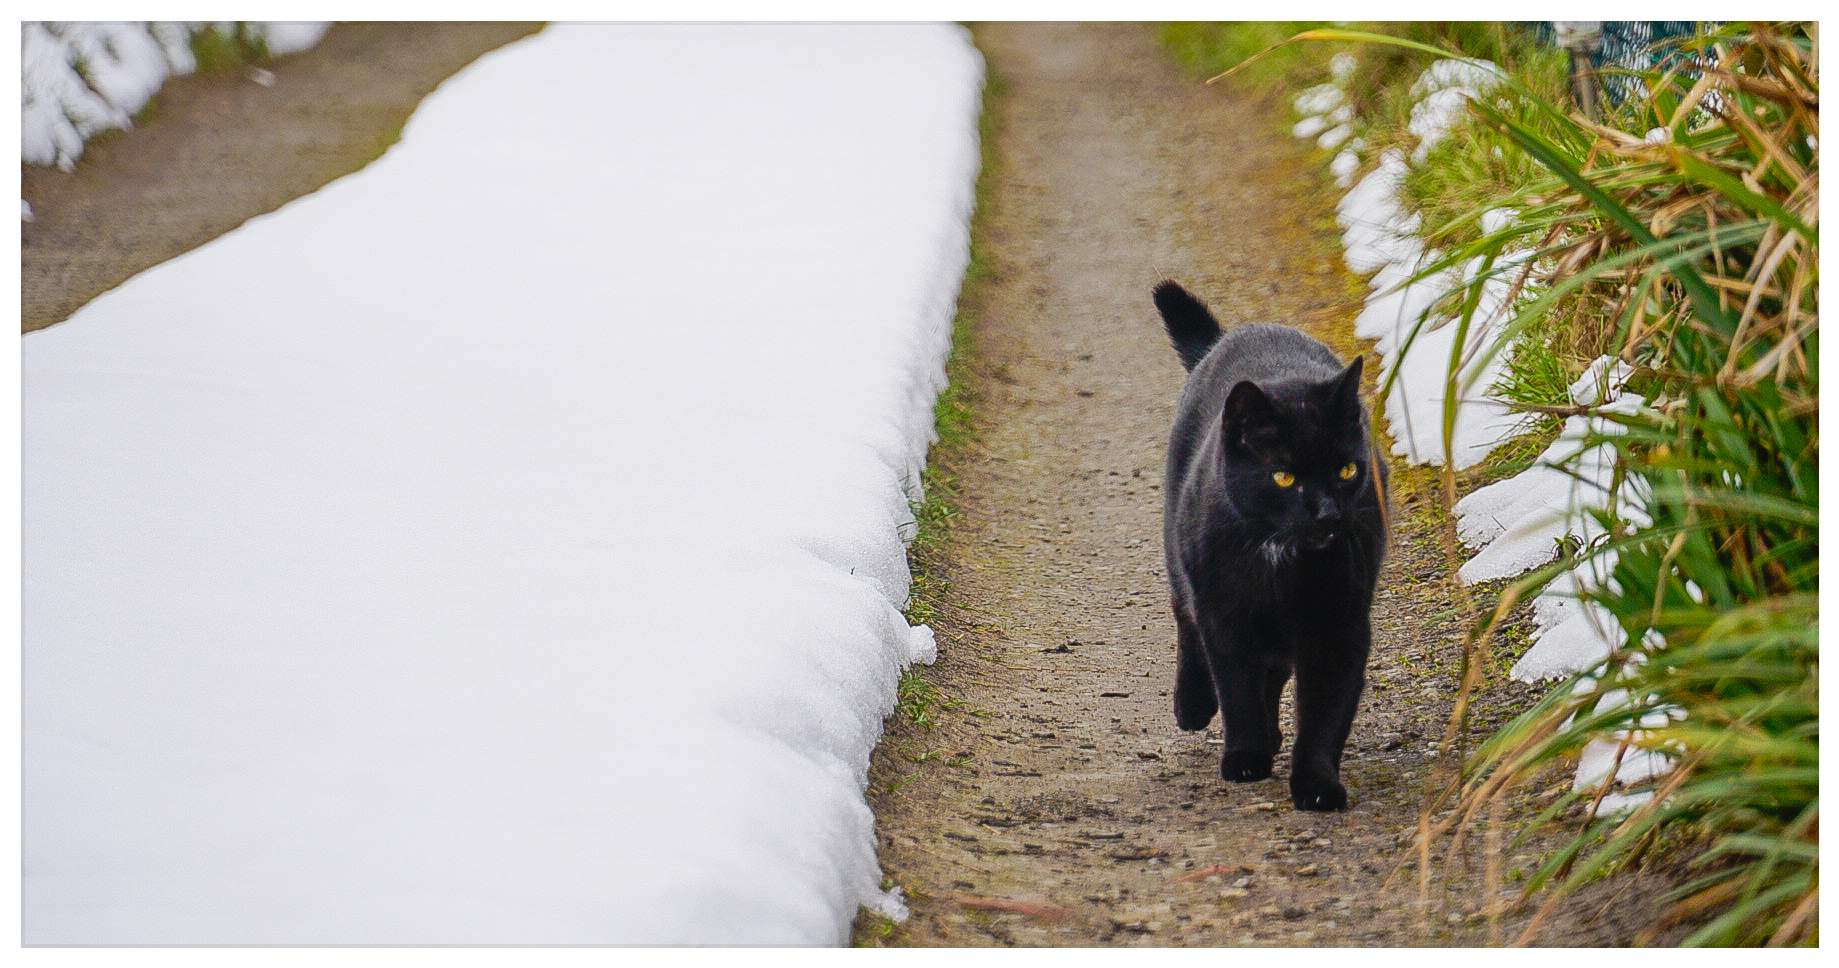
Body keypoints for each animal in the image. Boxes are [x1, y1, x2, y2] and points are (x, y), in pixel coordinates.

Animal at [1154, 279, 1382, 813]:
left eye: (1346, 470)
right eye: (1284, 477)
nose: (1327, 513)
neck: (1283, 561)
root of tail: (1233, 335)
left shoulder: (1339, 624)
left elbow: (1325, 711)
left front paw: (1317, 785)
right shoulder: (1226, 615)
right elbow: (1237, 687)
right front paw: (1246, 757)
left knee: (1275, 670)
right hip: (1182, 552)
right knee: (1185, 618)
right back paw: (1193, 706)